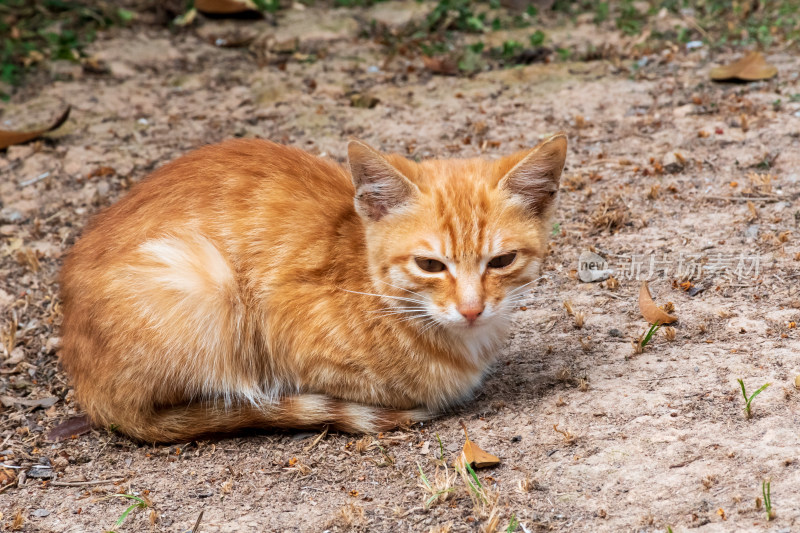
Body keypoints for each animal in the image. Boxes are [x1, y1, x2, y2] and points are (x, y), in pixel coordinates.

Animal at [59, 134, 564, 440]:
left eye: (502, 261)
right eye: (430, 265)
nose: (472, 309)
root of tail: (86, 385)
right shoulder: (280, 331)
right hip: (204, 282)